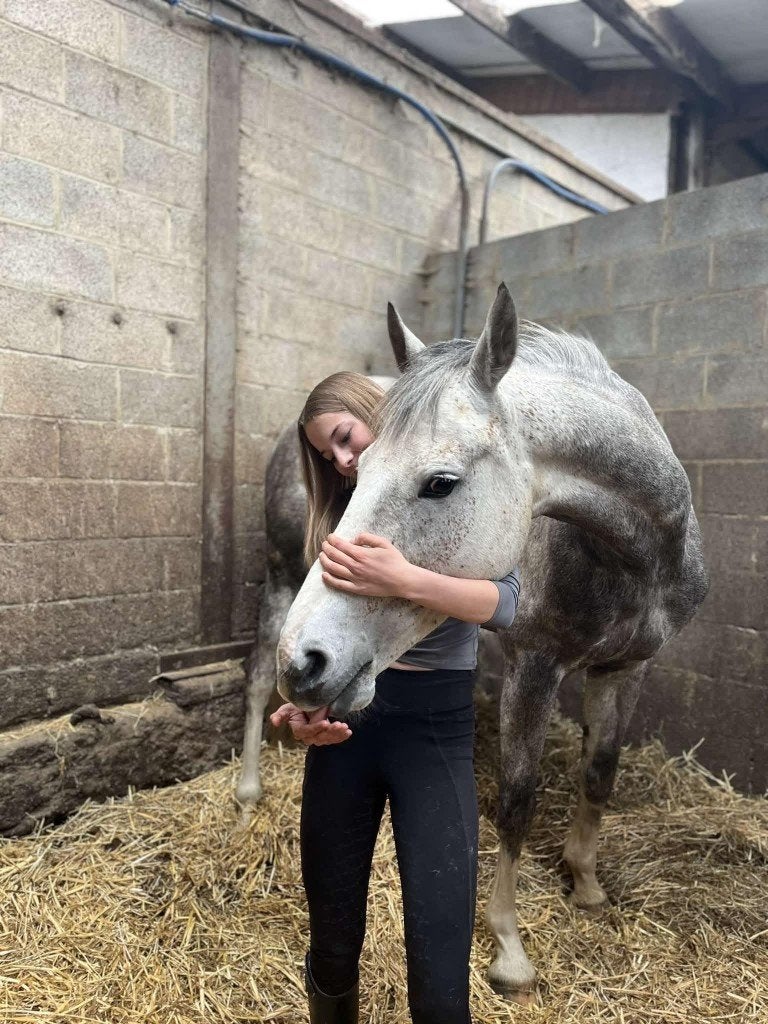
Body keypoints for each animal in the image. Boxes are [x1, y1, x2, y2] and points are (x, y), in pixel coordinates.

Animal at [274, 283, 709, 1000]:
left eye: (441, 483)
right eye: (358, 470)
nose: (304, 661)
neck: (632, 554)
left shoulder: (627, 667)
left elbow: (601, 770)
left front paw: (586, 884)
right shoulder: (535, 668)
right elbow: (515, 802)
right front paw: (508, 948)